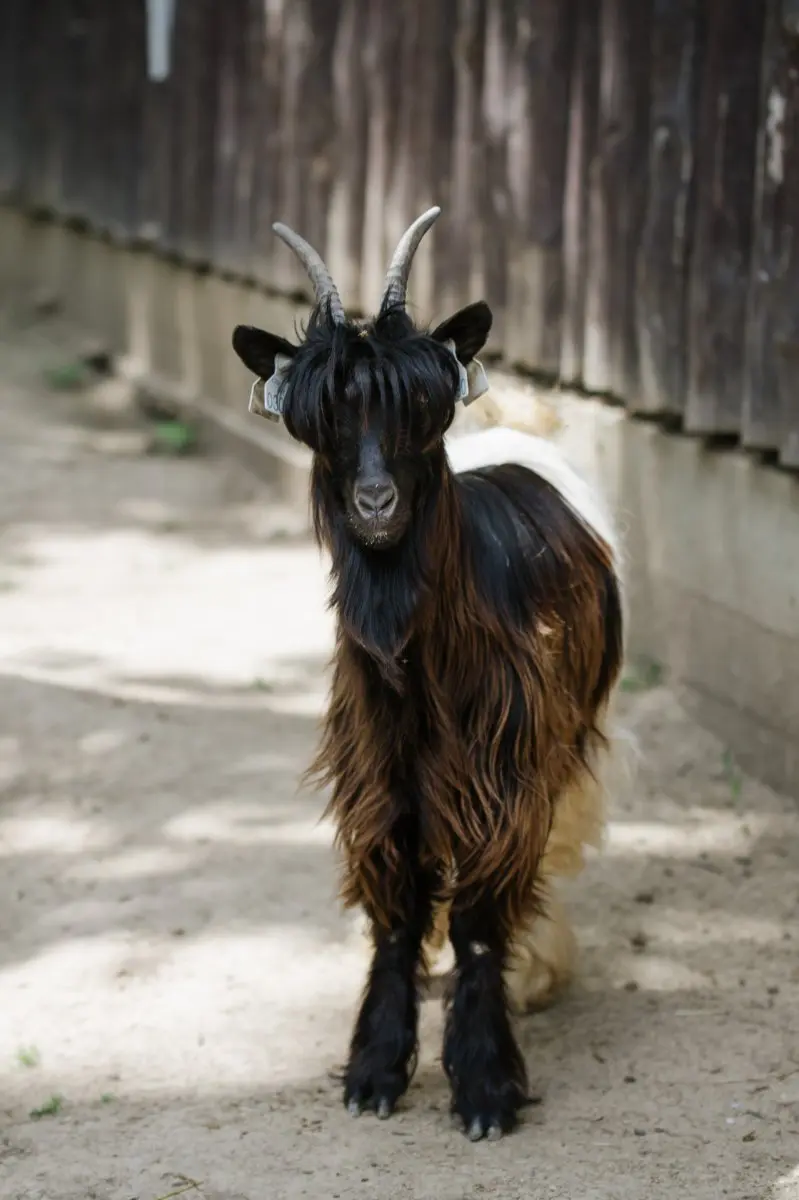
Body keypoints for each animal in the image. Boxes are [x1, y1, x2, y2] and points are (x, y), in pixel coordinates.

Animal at [231, 207, 625, 1142]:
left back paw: (540, 969)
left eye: (420, 408)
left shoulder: (505, 773)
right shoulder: (381, 777)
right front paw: (375, 1068)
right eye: (318, 419)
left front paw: (483, 1083)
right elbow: (395, 914)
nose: (375, 504)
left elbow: (485, 915)